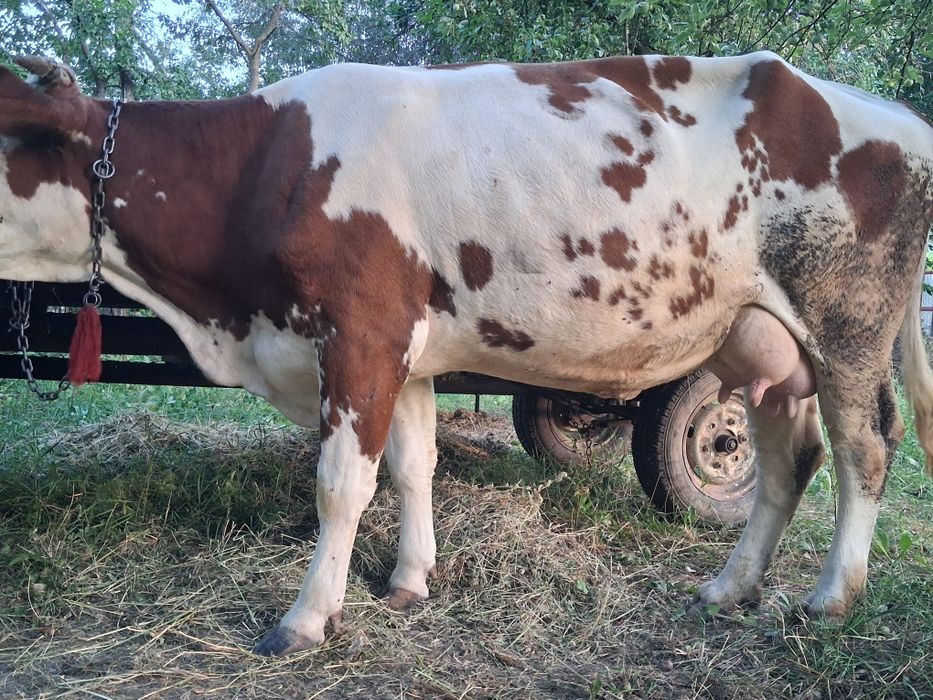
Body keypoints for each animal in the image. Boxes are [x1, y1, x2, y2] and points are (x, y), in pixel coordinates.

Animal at [1, 51, 931, 657]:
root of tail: (889, 112)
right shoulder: (405, 350)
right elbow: (414, 464)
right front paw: (409, 581)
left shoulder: (361, 333)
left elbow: (341, 484)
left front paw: (305, 619)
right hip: (758, 336)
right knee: (788, 457)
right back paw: (729, 587)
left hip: (847, 323)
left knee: (864, 447)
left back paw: (827, 598)